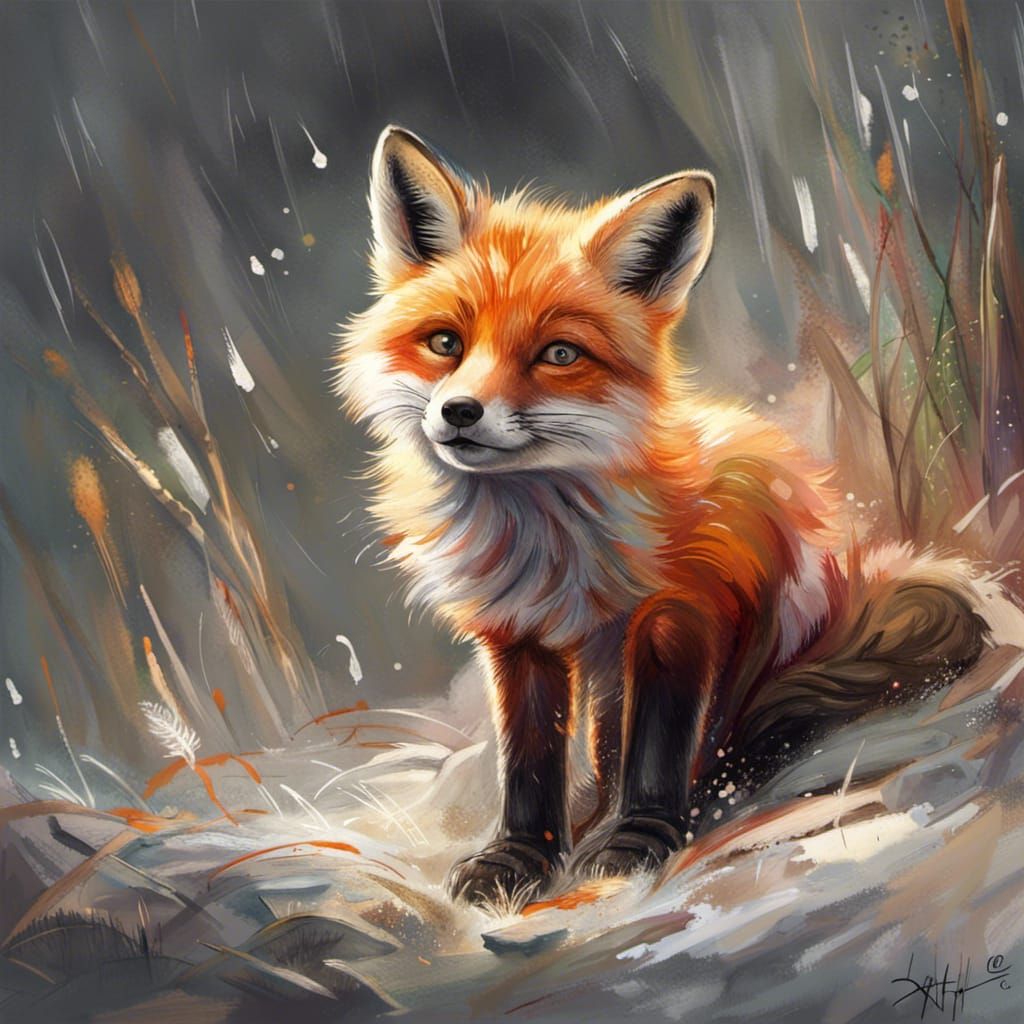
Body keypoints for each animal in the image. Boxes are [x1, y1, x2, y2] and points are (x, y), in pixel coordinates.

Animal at [335, 125, 1003, 907]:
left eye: (559, 353)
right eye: (446, 342)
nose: (459, 412)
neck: (548, 541)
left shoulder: (680, 609)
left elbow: (656, 748)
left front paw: (635, 841)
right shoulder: (517, 634)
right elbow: (529, 763)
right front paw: (519, 859)